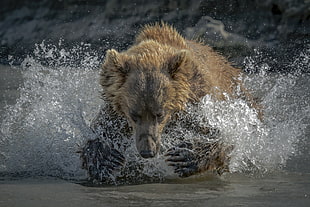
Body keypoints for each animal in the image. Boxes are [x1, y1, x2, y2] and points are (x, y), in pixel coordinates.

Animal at [80, 21, 260, 182]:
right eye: (134, 115)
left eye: (159, 114)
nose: (148, 152)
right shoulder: (115, 112)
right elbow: (101, 132)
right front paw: (105, 159)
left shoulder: (199, 102)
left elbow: (224, 137)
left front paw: (183, 156)